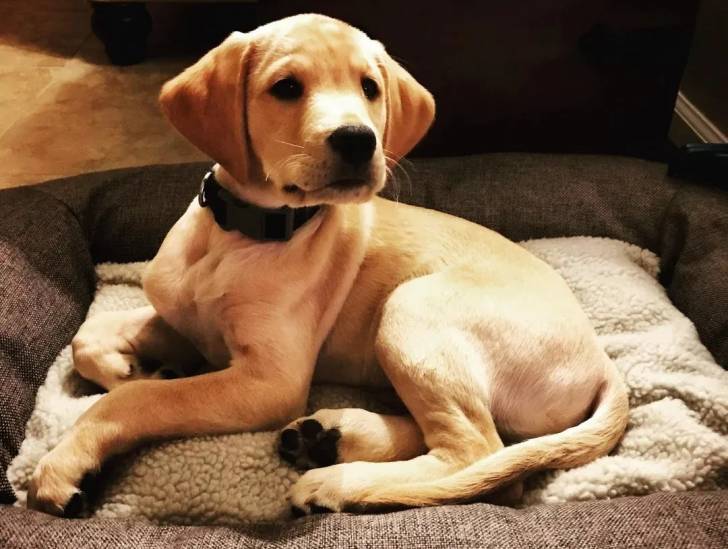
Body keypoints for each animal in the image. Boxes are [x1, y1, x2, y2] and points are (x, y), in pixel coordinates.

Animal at [27, 13, 629, 517]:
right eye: (286, 87)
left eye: (370, 88)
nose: (359, 140)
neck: (241, 234)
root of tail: (603, 361)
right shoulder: (188, 324)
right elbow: (90, 339)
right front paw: (139, 368)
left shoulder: (269, 380)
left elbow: (139, 401)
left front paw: (68, 460)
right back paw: (331, 437)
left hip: (411, 311)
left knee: (481, 456)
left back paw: (337, 482)